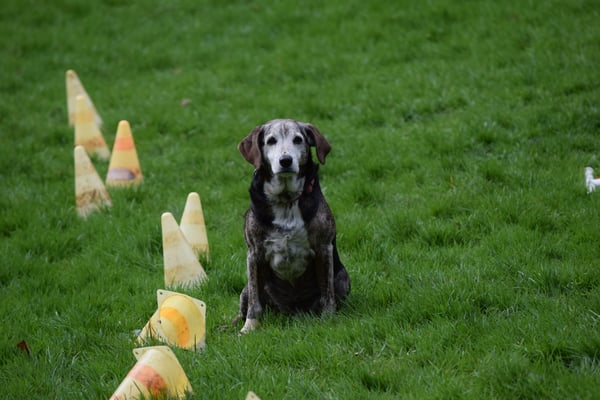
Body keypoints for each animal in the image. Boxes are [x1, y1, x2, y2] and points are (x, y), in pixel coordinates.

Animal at [236, 119, 351, 334]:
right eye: (271, 141)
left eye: (298, 139)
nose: (286, 160)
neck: (286, 199)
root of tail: (291, 311)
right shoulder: (254, 254)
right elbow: (255, 302)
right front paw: (249, 327)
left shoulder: (324, 249)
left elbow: (327, 292)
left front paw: (328, 319)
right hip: (245, 288)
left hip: (342, 277)